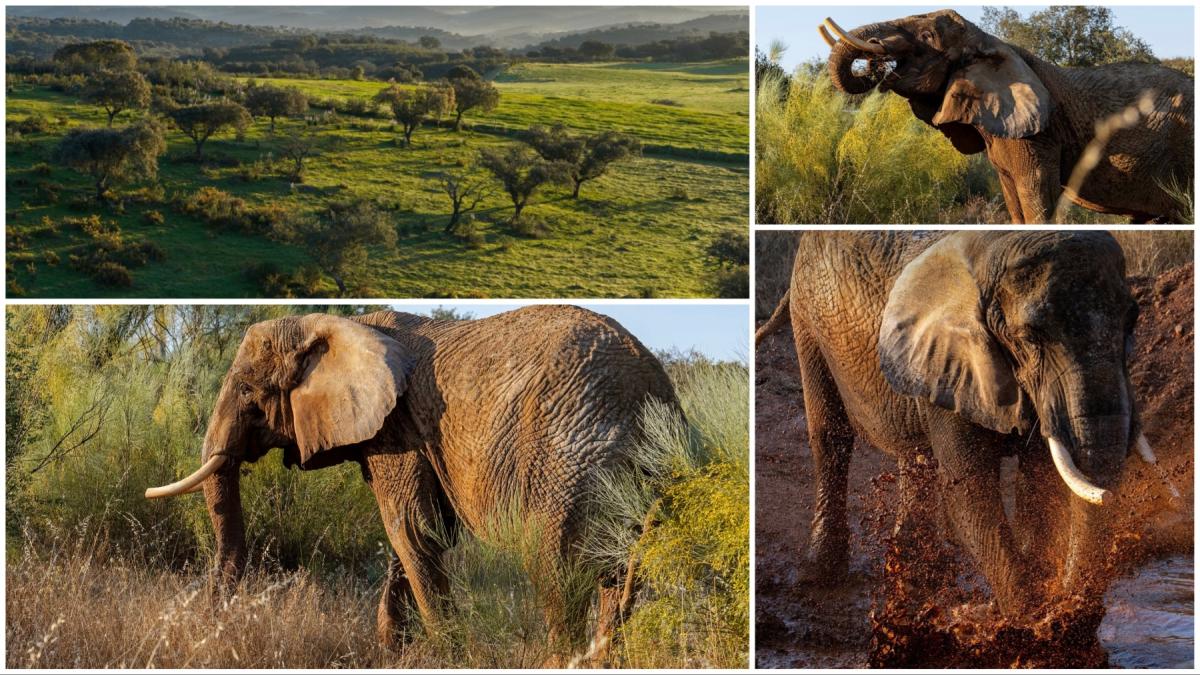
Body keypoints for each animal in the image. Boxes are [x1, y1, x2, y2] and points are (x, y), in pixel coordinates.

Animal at [145, 305, 680, 657]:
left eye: (249, 394)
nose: (209, 622)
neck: (340, 324)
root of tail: (652, 390)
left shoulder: (399, 430)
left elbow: (412, 530)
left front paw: (448, 654)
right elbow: (412, 535)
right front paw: (392, 652)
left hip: (568, 460)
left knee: (556, 566)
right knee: (616, 571)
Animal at [755, 231, 1169, 616]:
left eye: (1132, 321)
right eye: (1029, 337)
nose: (1112, 495)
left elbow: (1038, 483)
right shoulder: (950, 362)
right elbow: (971, 493)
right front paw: (1033, 626)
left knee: (915, 456)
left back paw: (915, 575)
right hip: (807, 320)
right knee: (832, 437)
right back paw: (821, 575)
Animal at [819, 10, 1193, 224]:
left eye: (927, 37)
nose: (875, 61)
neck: (992, 43)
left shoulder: (1040, 135)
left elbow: (1035, 195)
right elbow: (1013, 200)